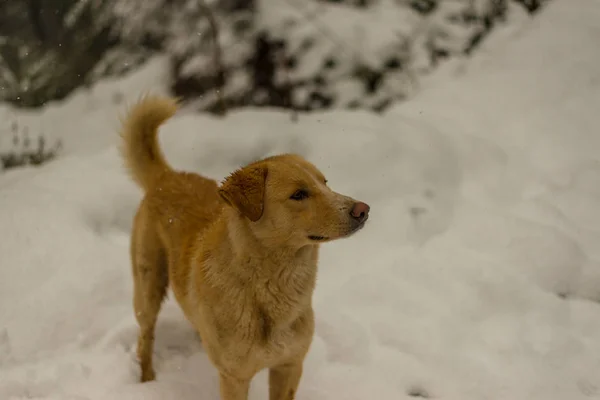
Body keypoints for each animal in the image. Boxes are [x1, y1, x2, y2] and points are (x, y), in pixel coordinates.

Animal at [118, 95, 370, 398]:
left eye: (325, 183)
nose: (363, 210)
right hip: (147, 290)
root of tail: (166, 178)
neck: (272, 284)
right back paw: (146, 380)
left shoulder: (290, 365)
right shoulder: (234, 377)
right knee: (145, 338)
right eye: (299, 194)